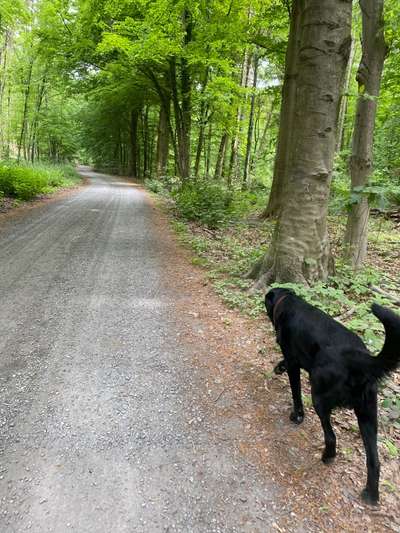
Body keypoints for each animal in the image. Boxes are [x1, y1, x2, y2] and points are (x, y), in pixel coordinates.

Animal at [266, 286, 400, 502]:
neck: (287, 302)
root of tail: (360, 358)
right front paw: (279, 366)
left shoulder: (294, 362)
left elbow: (296, 393)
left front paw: (297, 416)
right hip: (368, 415)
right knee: (374, 461)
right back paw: (371, 495)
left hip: (319, 398)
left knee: (331, 437)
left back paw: (327, 456)